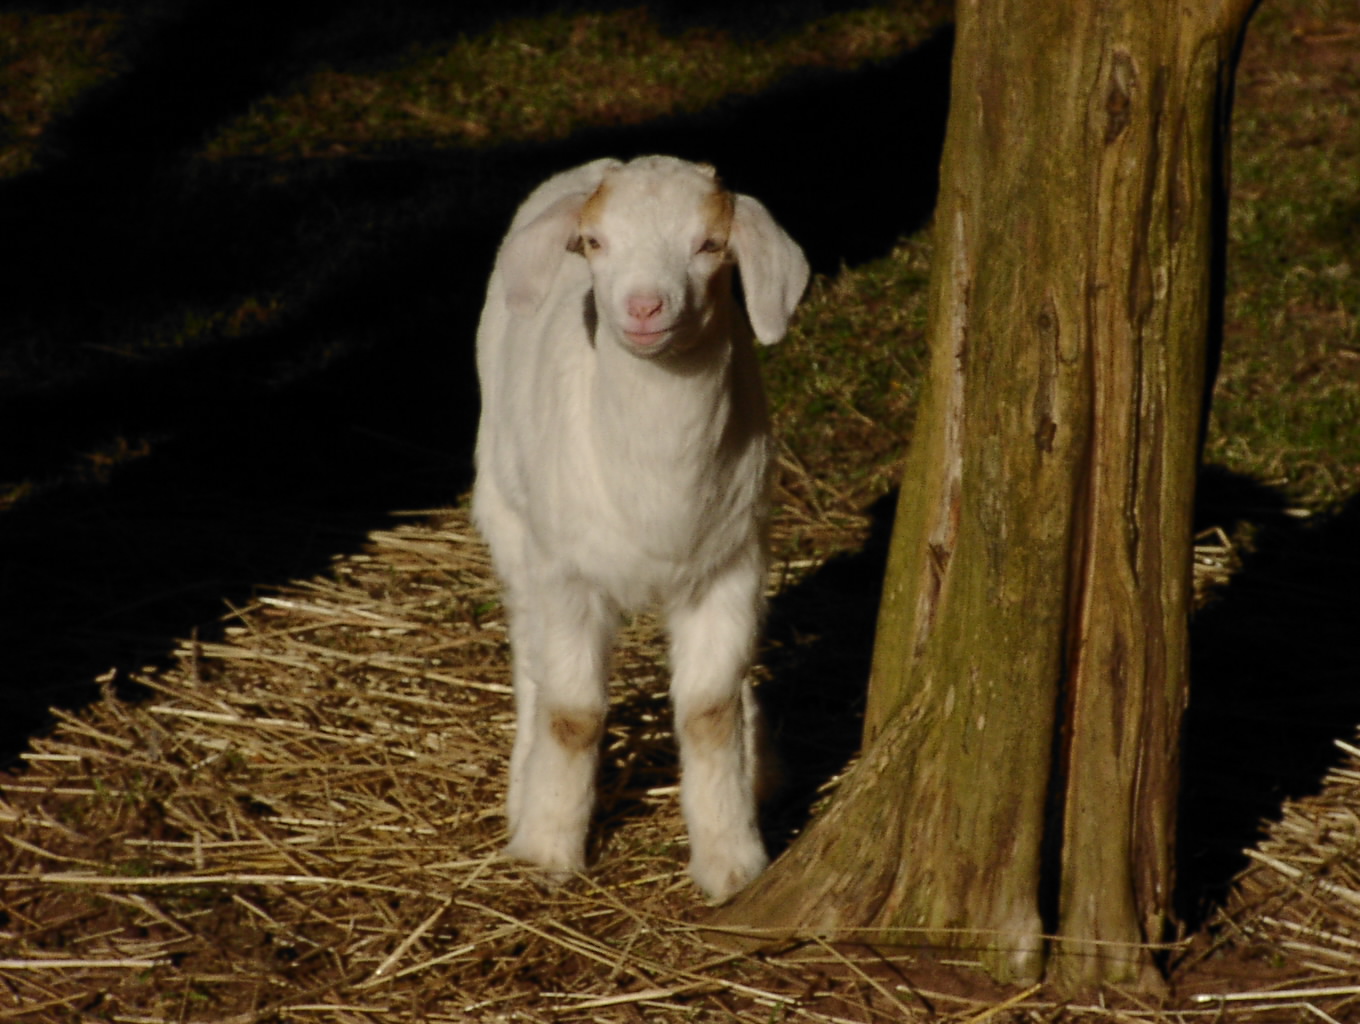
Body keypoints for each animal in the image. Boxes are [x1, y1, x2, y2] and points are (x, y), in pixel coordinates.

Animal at [471, 155, 809, 902]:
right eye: (595, 243)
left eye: (710, 246)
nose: (645, 307)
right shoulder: (567, 574)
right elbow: (572, 713)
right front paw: (548, 848)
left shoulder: (730, 566)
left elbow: (709, 710)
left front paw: (732, 860)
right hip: (509, 519)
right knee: (530, 657)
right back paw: (521, 788)